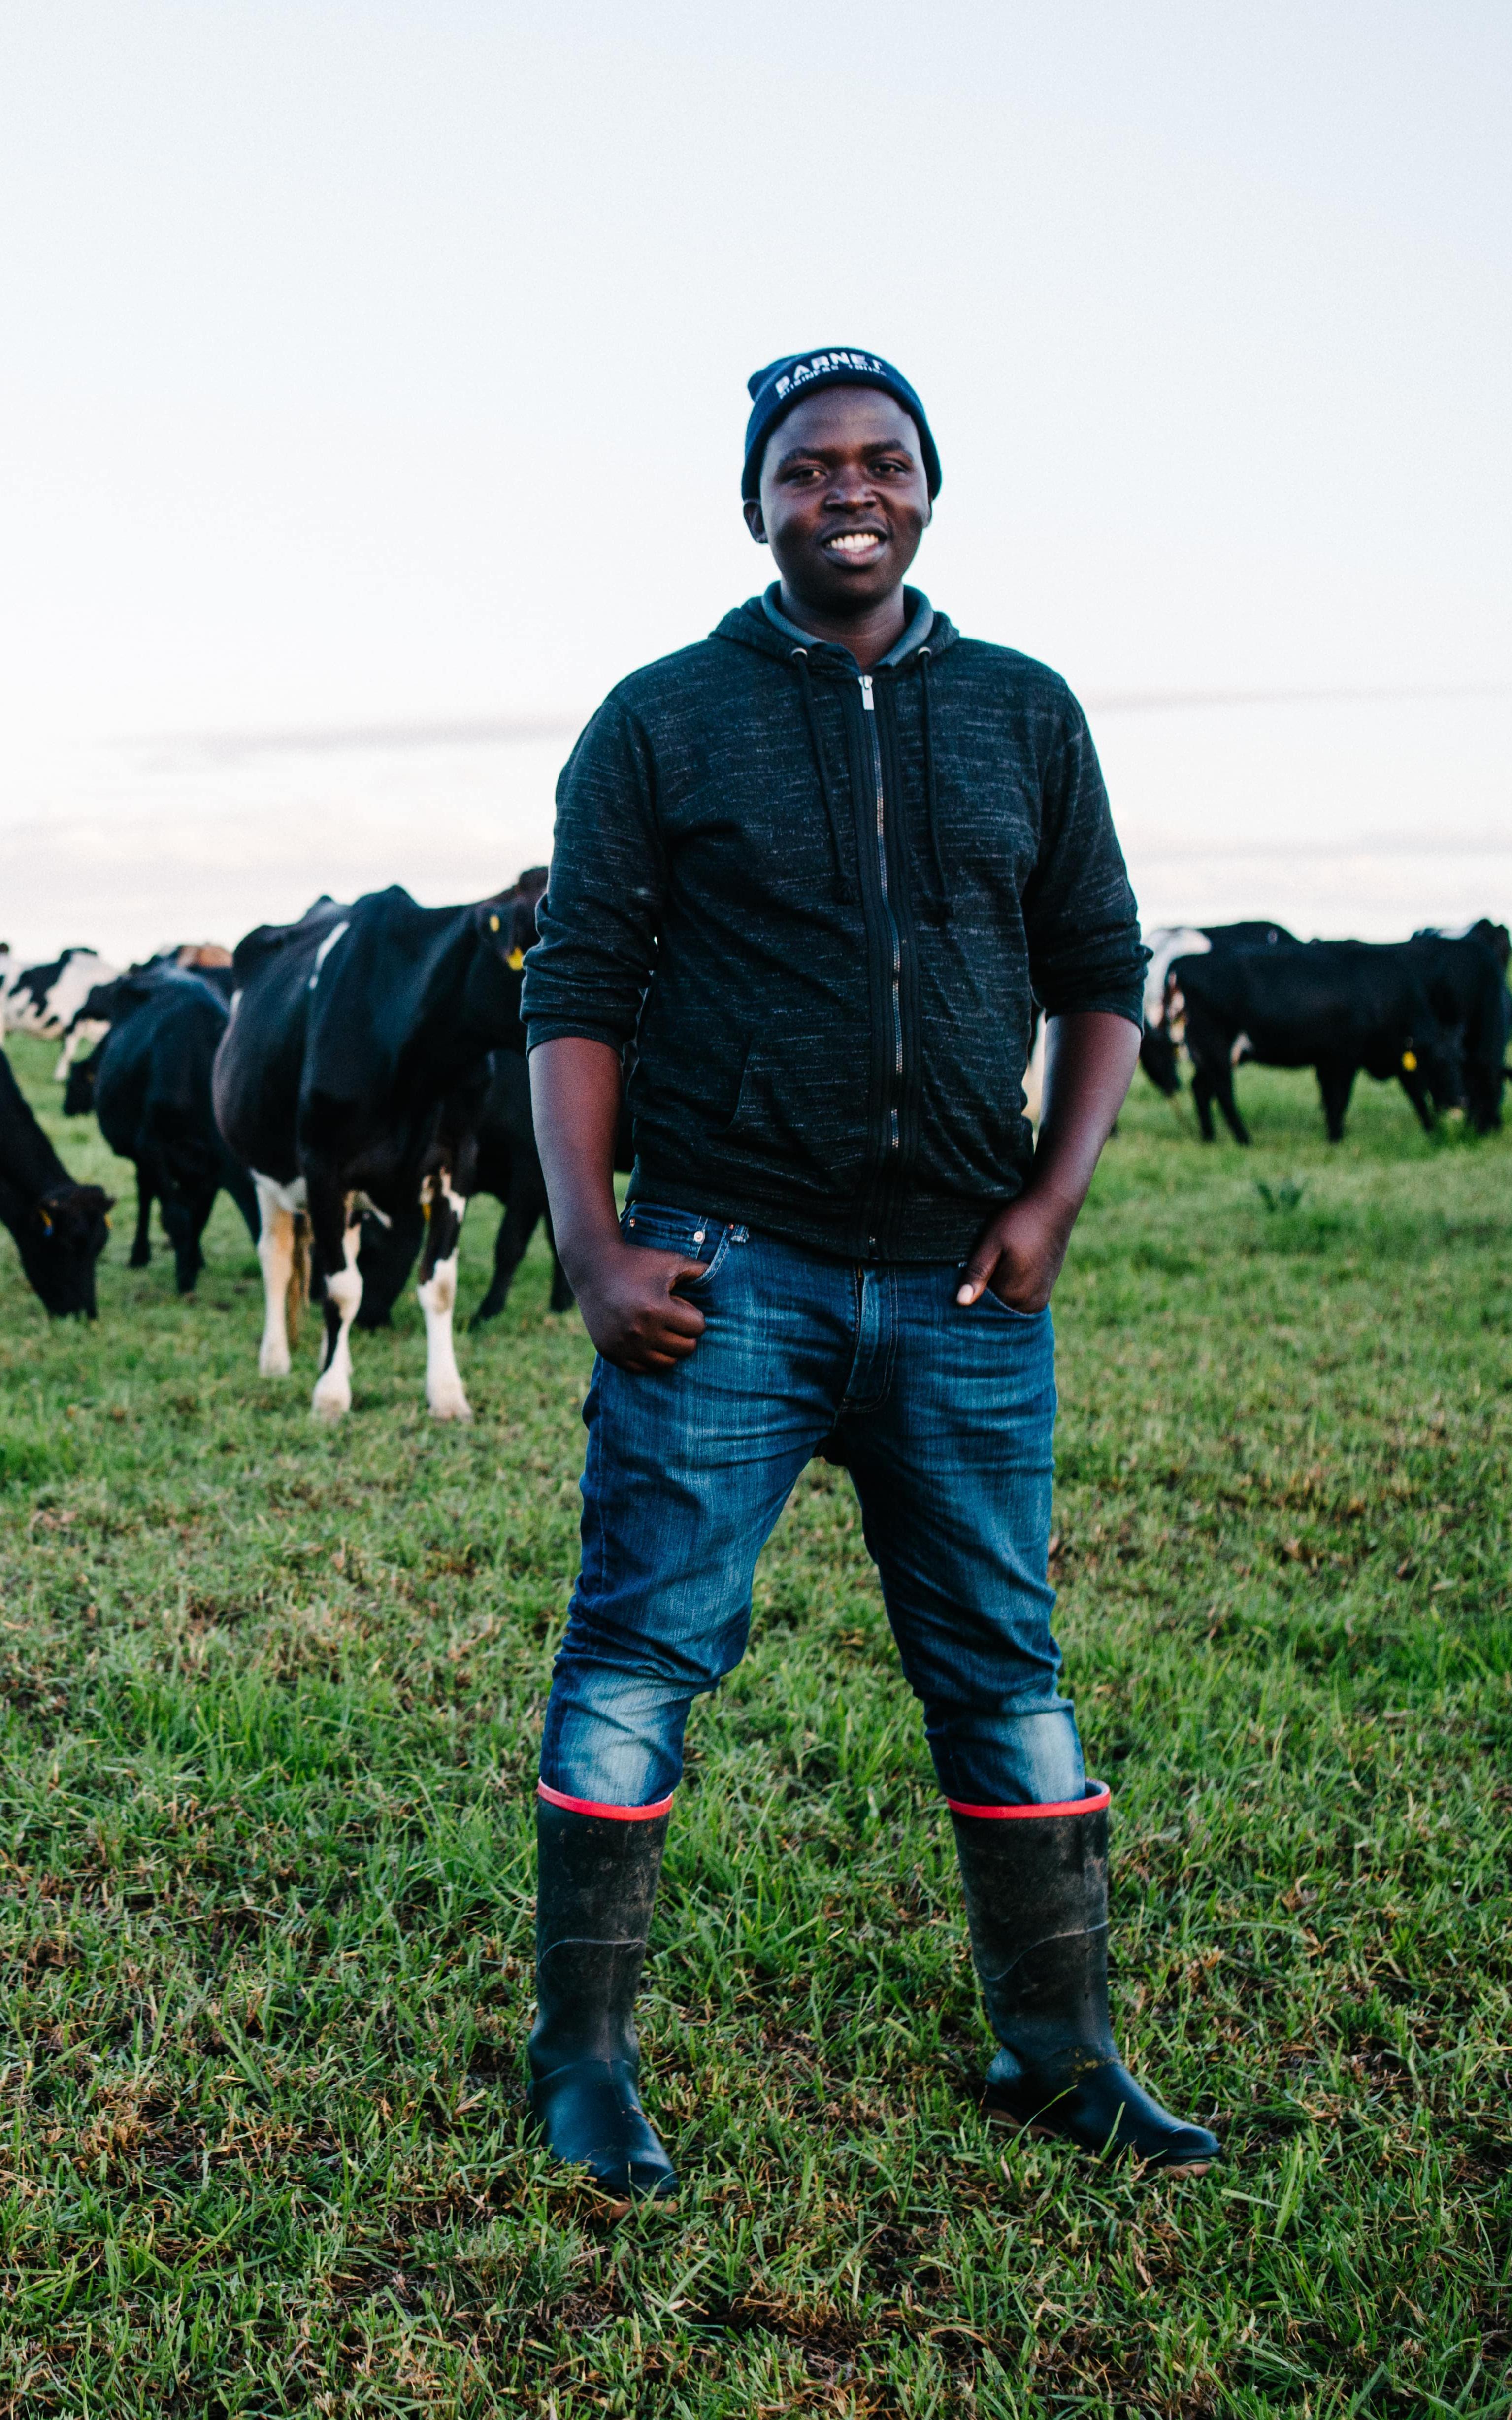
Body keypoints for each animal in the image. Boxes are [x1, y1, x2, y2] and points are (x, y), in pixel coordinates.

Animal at [77, 973, 259, 1297]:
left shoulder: (211, 1168)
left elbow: (199, 1215)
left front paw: (193, 1262)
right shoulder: (153, 1145)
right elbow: (177, 1214)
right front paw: (184, 1278)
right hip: (142, 1151)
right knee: (146, 1191)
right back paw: (140, 1254)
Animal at [213, 880, 542, 1413]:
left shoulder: (457, 1167)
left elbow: (439, 1285)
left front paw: (447, 1394)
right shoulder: (324, 1167)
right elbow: (343, 1289)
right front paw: (329, 1396)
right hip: (264, 1170)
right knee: (277, 1257)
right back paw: (276, 1359)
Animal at [1156, 934, 1461, 1142]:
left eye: (1461, 1060)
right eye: (1439, 1063)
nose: (1460, 1101)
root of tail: (1187, 961)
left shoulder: (1361, 1056)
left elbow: (1413, 1094)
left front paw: (1431, 1130)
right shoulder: (1346, 1056)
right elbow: (1340, 1098)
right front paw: (1336, 1138)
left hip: (1213, 1053)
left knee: (1201, 1088)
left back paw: (1209, 1137)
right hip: (1216, 1046)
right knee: (1222, 1091)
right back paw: (1244, 1139)